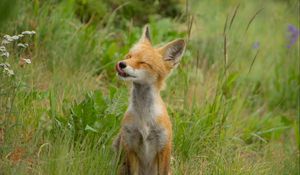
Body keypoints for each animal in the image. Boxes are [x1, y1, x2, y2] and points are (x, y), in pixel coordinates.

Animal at [113, 25, 185, 175]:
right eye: (129, 56)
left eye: (143, 63)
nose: (121, 64)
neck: (144, 118)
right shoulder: (131, 145)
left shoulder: (164, 147)